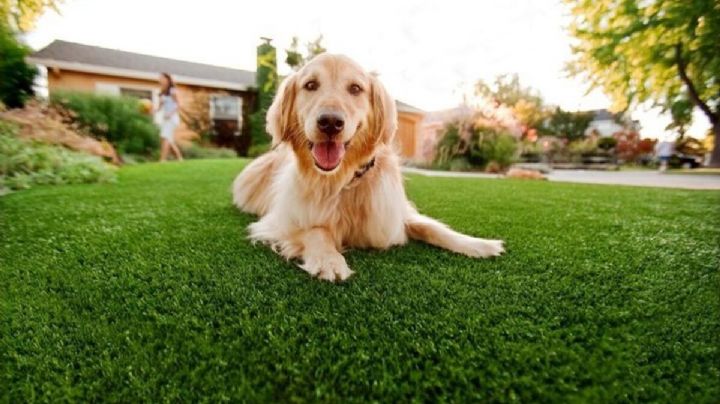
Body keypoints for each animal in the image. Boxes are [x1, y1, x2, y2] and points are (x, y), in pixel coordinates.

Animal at [233, 53, 504, 280]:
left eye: (355, 88)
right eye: (310, 85)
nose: (330, 122)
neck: (344, 180)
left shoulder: (393, 214)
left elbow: (432, 227)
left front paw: (478, 244)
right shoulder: (281, 221)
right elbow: (316, 230)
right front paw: (329, 260)